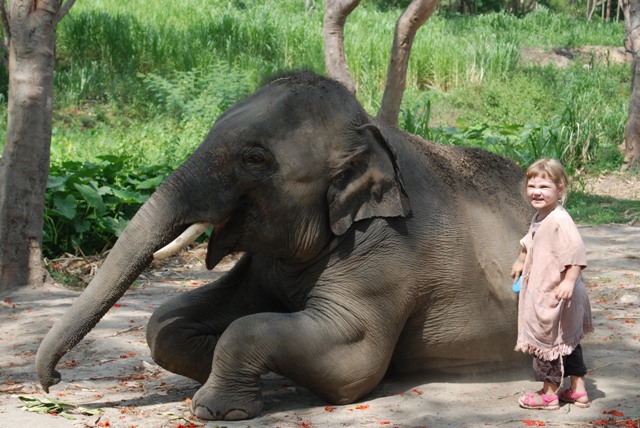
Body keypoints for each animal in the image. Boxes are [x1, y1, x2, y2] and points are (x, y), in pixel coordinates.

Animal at [37, 71, 532, 422]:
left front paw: (218, 408)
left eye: (255, 158)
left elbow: (353, 362)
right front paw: (240, 371)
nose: (53, 381)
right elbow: (166, 321)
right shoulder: (267, 262)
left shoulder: (389, 252)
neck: (367, 133)